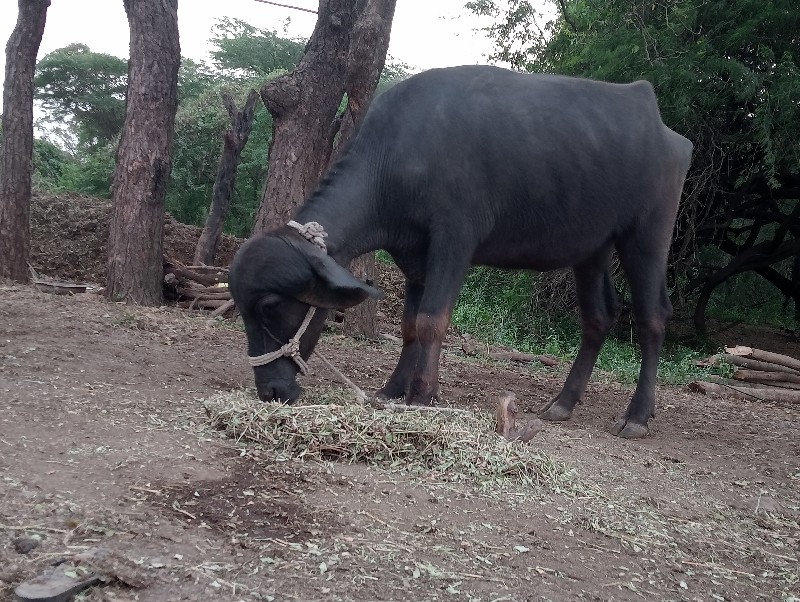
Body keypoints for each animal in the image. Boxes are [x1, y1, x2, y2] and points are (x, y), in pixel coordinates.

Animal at [228, 65, 692, 436]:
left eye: (269, 307)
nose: (271, 390)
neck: (396, 158)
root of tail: (661, 126)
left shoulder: (454, 239)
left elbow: (432, 320)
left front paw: (423, 394)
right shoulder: (414, 256)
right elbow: (409, 325)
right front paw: (393, 388)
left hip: (647, 233)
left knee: (653, 317)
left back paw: (636, 417)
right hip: (591, 246)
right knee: (598, 318)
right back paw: (562, 403)